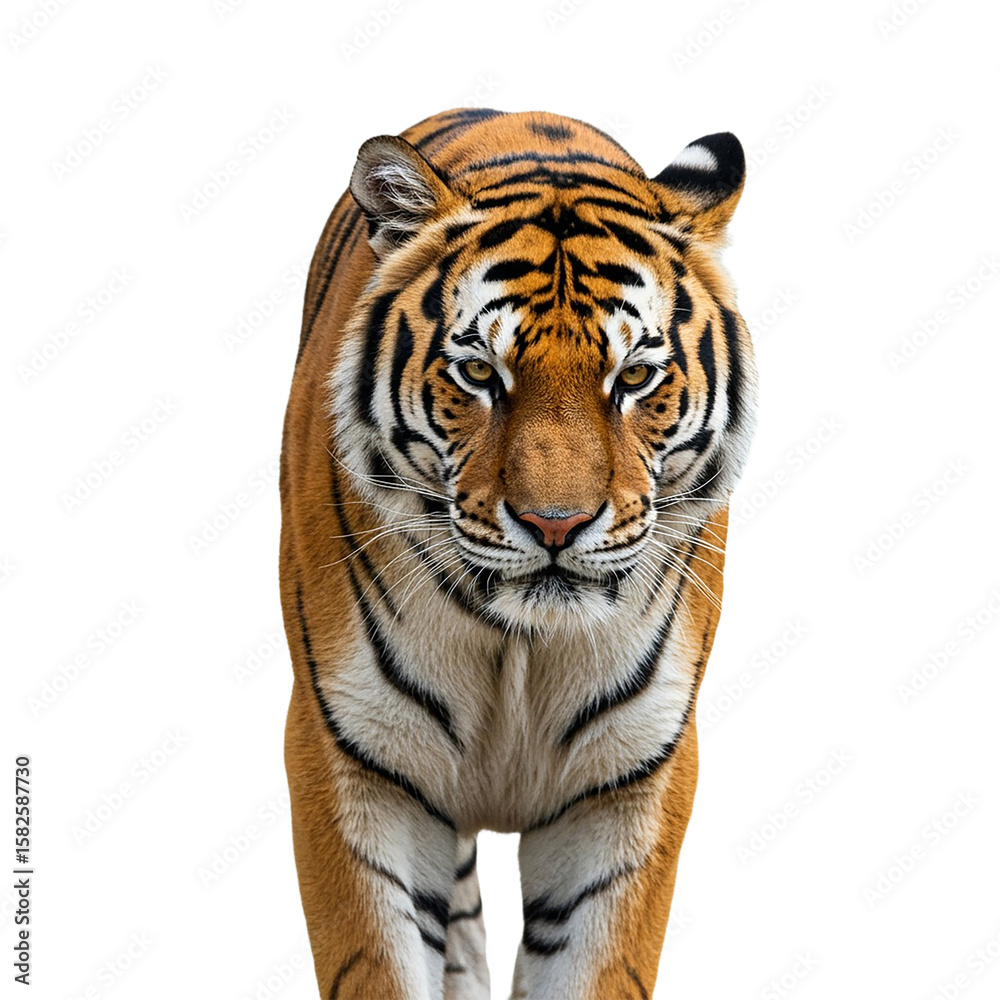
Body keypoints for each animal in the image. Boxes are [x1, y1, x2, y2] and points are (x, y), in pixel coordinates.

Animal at [279, 107, 757, 1000]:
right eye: (478, 373)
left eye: (634, 378)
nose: (556, 524)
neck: (519, 645)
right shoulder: (353, 763)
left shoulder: (630, 782)